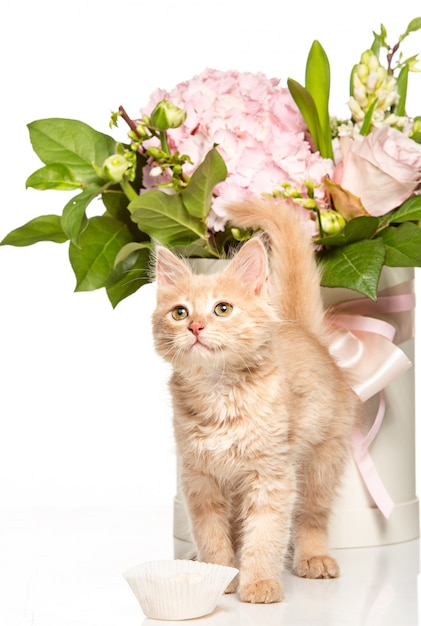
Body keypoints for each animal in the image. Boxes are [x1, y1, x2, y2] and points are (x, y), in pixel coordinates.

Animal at [152, 197, 360, 604]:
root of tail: (299, 328)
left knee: (312, 514)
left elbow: (266, 533)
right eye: (180, 312)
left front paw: (260, 583)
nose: (195, 327)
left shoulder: (271, 474)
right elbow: (211, 534)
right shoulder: (199, 477)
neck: (219, 394)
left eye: (222, 308)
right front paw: (219, 574)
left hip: (322, 458)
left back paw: (313, 557)